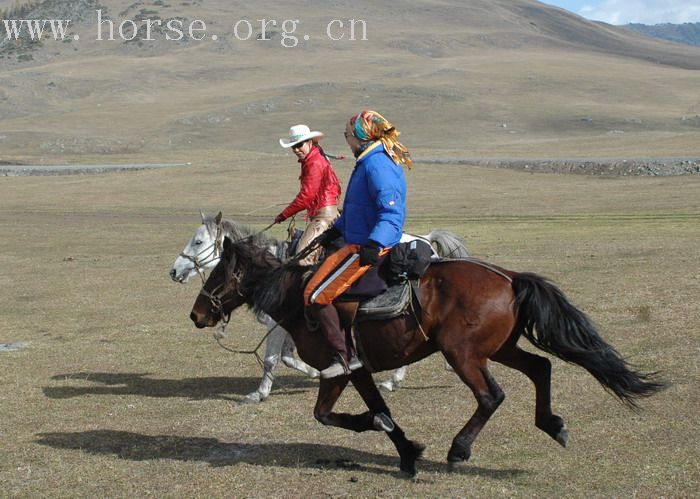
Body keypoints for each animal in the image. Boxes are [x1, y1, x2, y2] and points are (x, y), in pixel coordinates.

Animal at [170, 211, 468, 402]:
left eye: (198, 241)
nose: (174, 271)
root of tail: (426, 240)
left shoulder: (277, 324)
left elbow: (271, 358)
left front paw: (259, 393)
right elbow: (287, 357)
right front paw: (315, 372)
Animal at [190, 234, 660, 476]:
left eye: (215, 273)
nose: (196, 314)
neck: (296, 297)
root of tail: (508, 277)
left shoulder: (337, 369)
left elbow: (327, 415)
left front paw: (387, 434)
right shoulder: (355, 371)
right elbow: (376, 410)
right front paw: (406, 452)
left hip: (464, 354)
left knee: (491, 396)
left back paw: (459, 449)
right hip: (501, 348)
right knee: (541, 366)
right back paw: (553, 425)